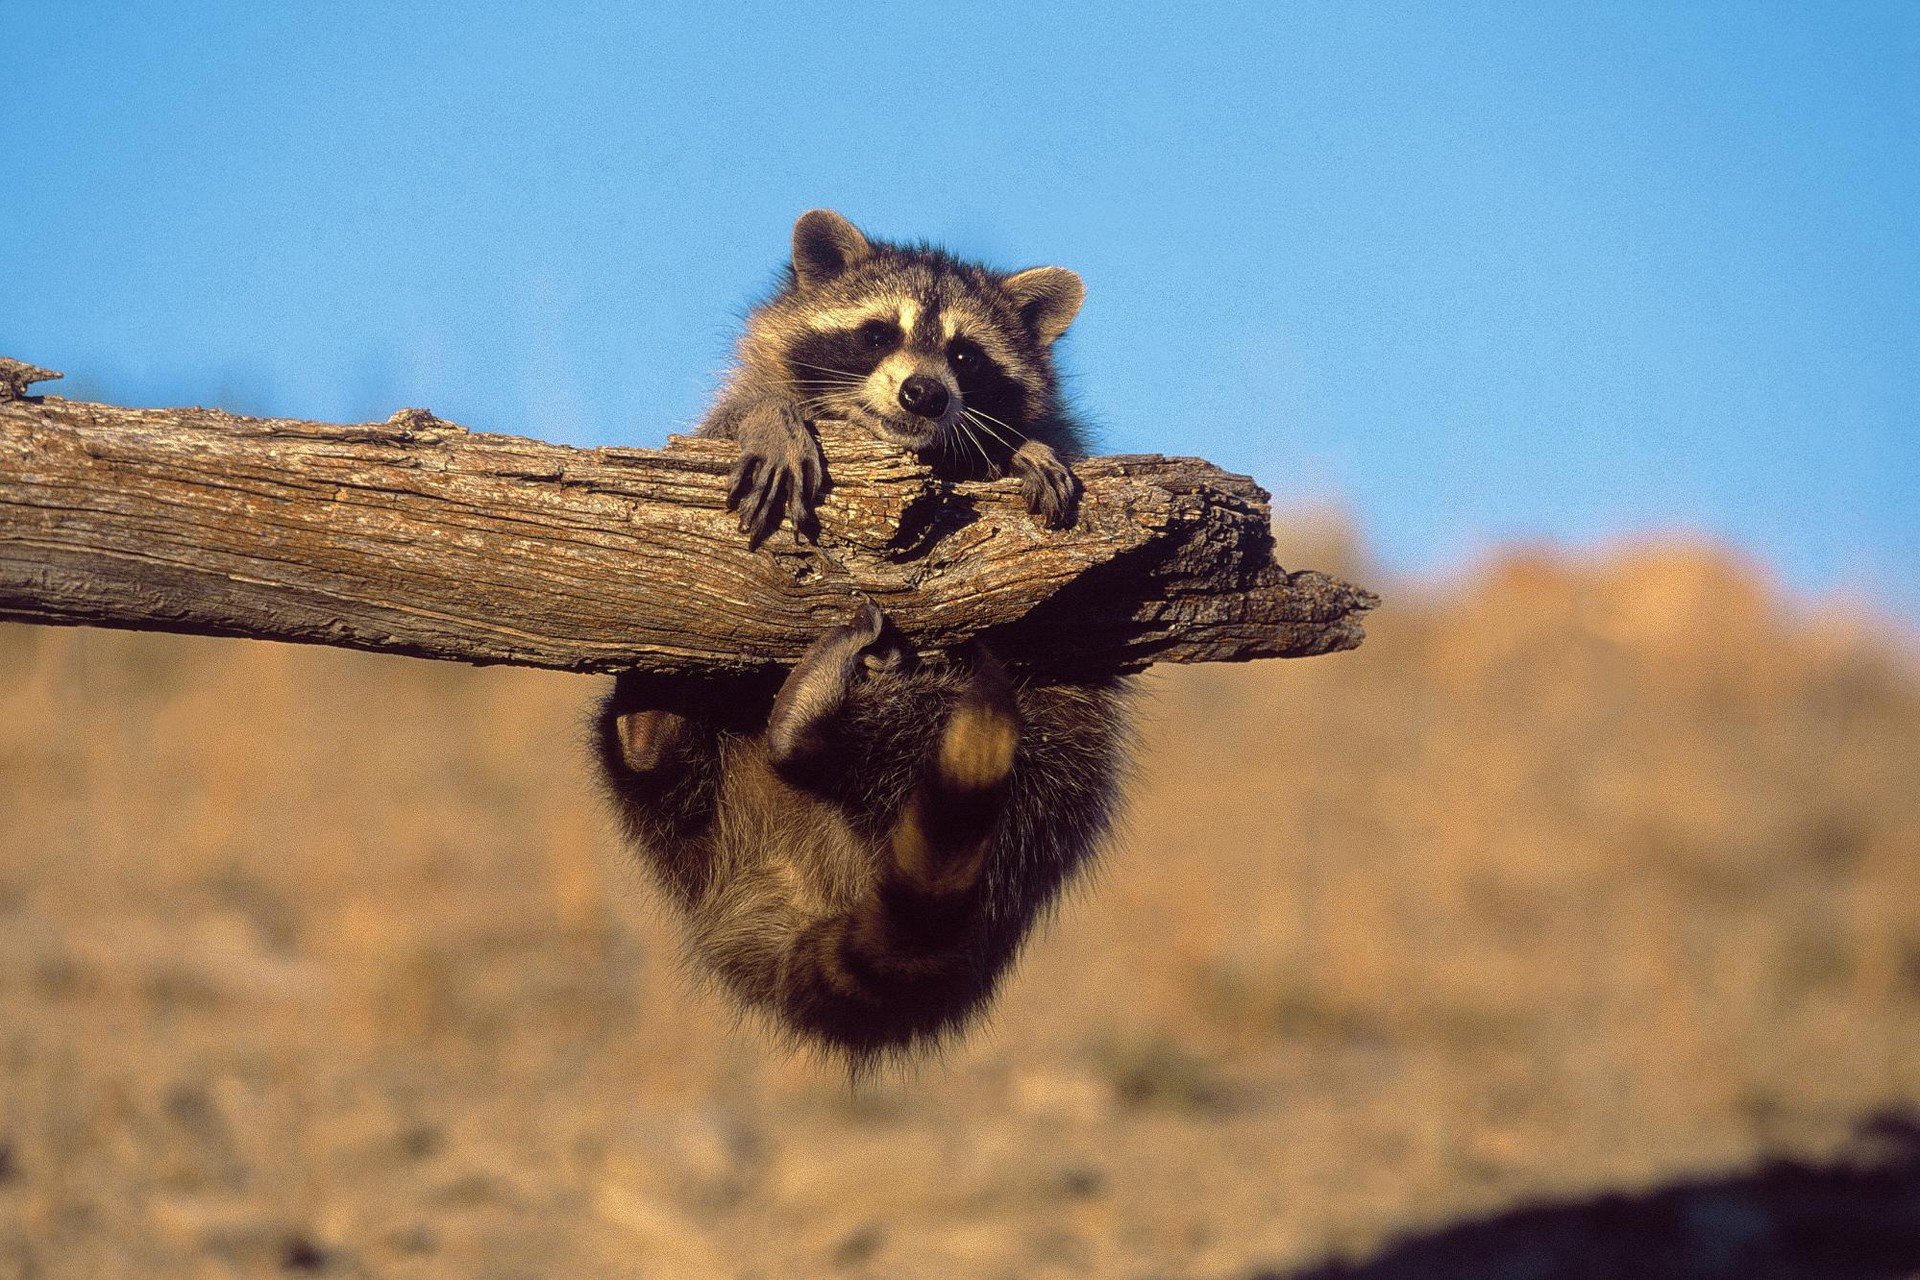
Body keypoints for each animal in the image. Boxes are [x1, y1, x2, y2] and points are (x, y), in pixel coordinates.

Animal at [596, 211, 1131, 1060]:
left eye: (966, 355)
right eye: (880, 334)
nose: (924, 392)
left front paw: (1022, 450)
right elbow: (740, 418)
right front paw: (774, 420)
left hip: (1055, 761)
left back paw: (811, 729)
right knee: (660, 775)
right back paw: (655, 720)